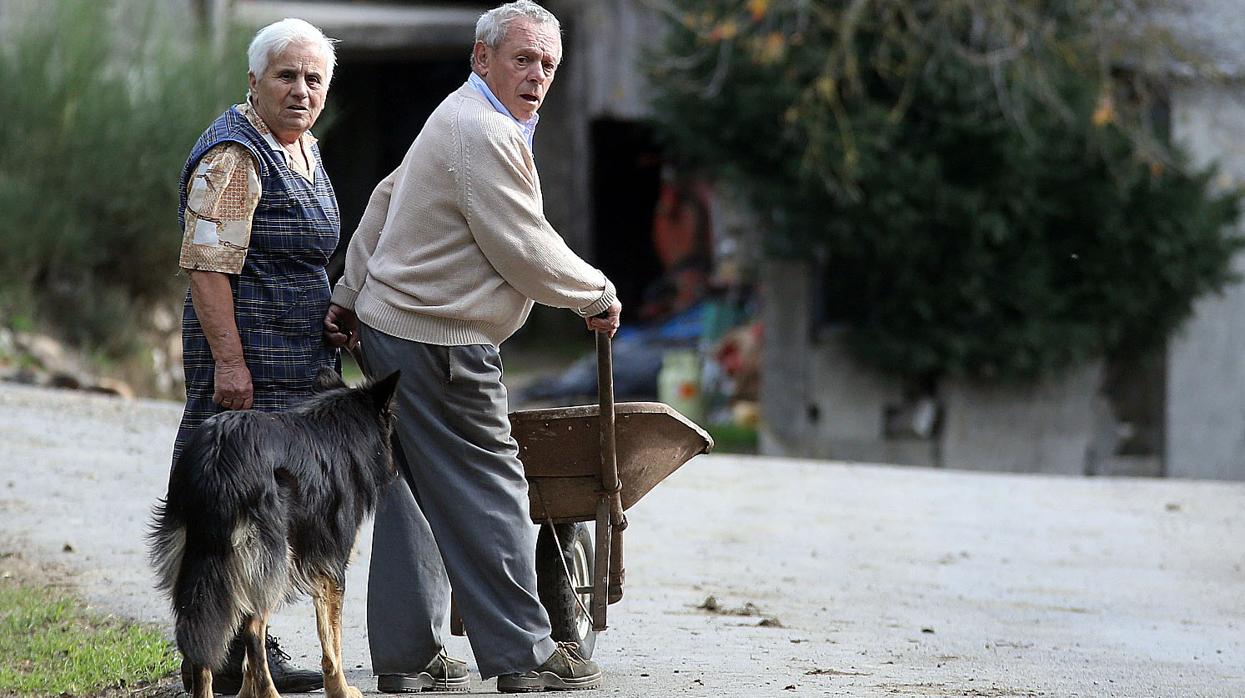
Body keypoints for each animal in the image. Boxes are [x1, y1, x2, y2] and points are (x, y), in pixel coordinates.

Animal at [146, 368, 400, 691]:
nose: (397, 471)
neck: (341, 427)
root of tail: (218, 461)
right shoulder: (331, 568)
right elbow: (332, 643)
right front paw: (341, 690)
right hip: (272, 559)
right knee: (253, 631)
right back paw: (270, 692)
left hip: (203, 561)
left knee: (206, 636)